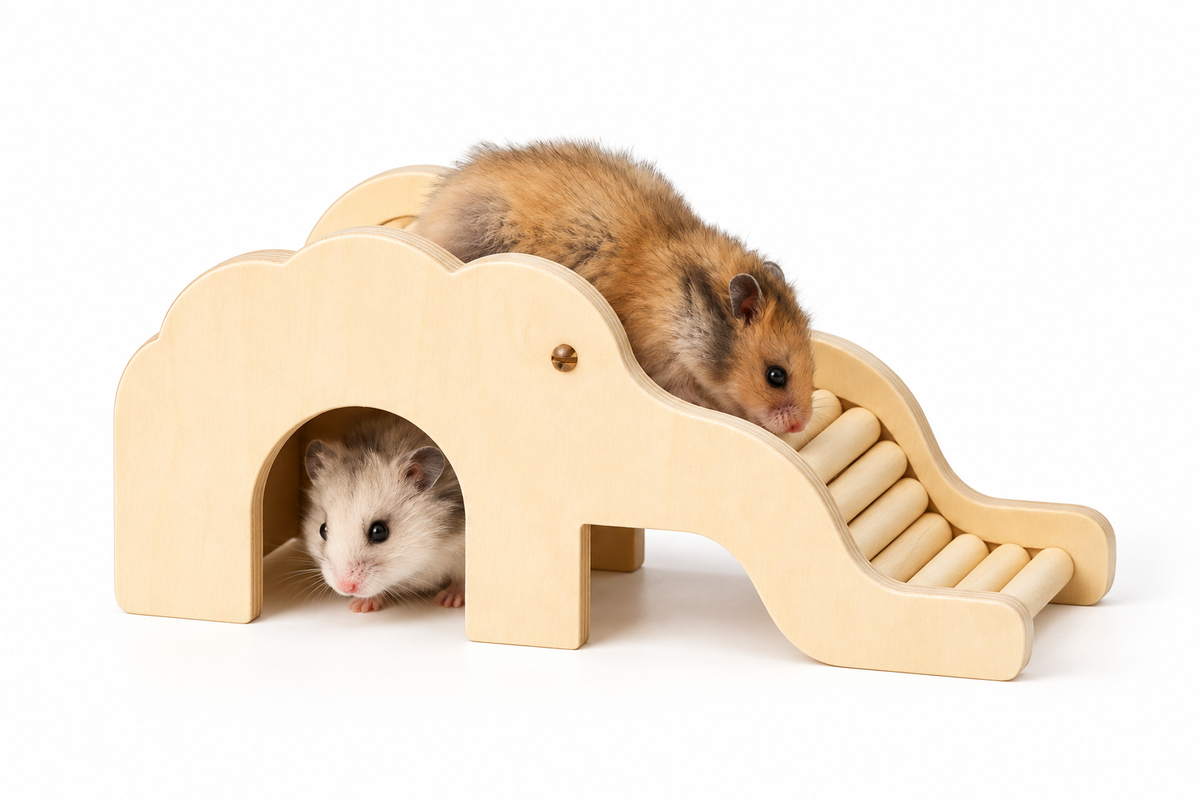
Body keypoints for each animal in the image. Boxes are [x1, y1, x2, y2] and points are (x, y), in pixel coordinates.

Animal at [301, 413, 466, 612]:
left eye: (379, 531)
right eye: (322, 530)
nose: (345, 587)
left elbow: (462, 580)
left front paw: (448, 601)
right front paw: (359, 607)